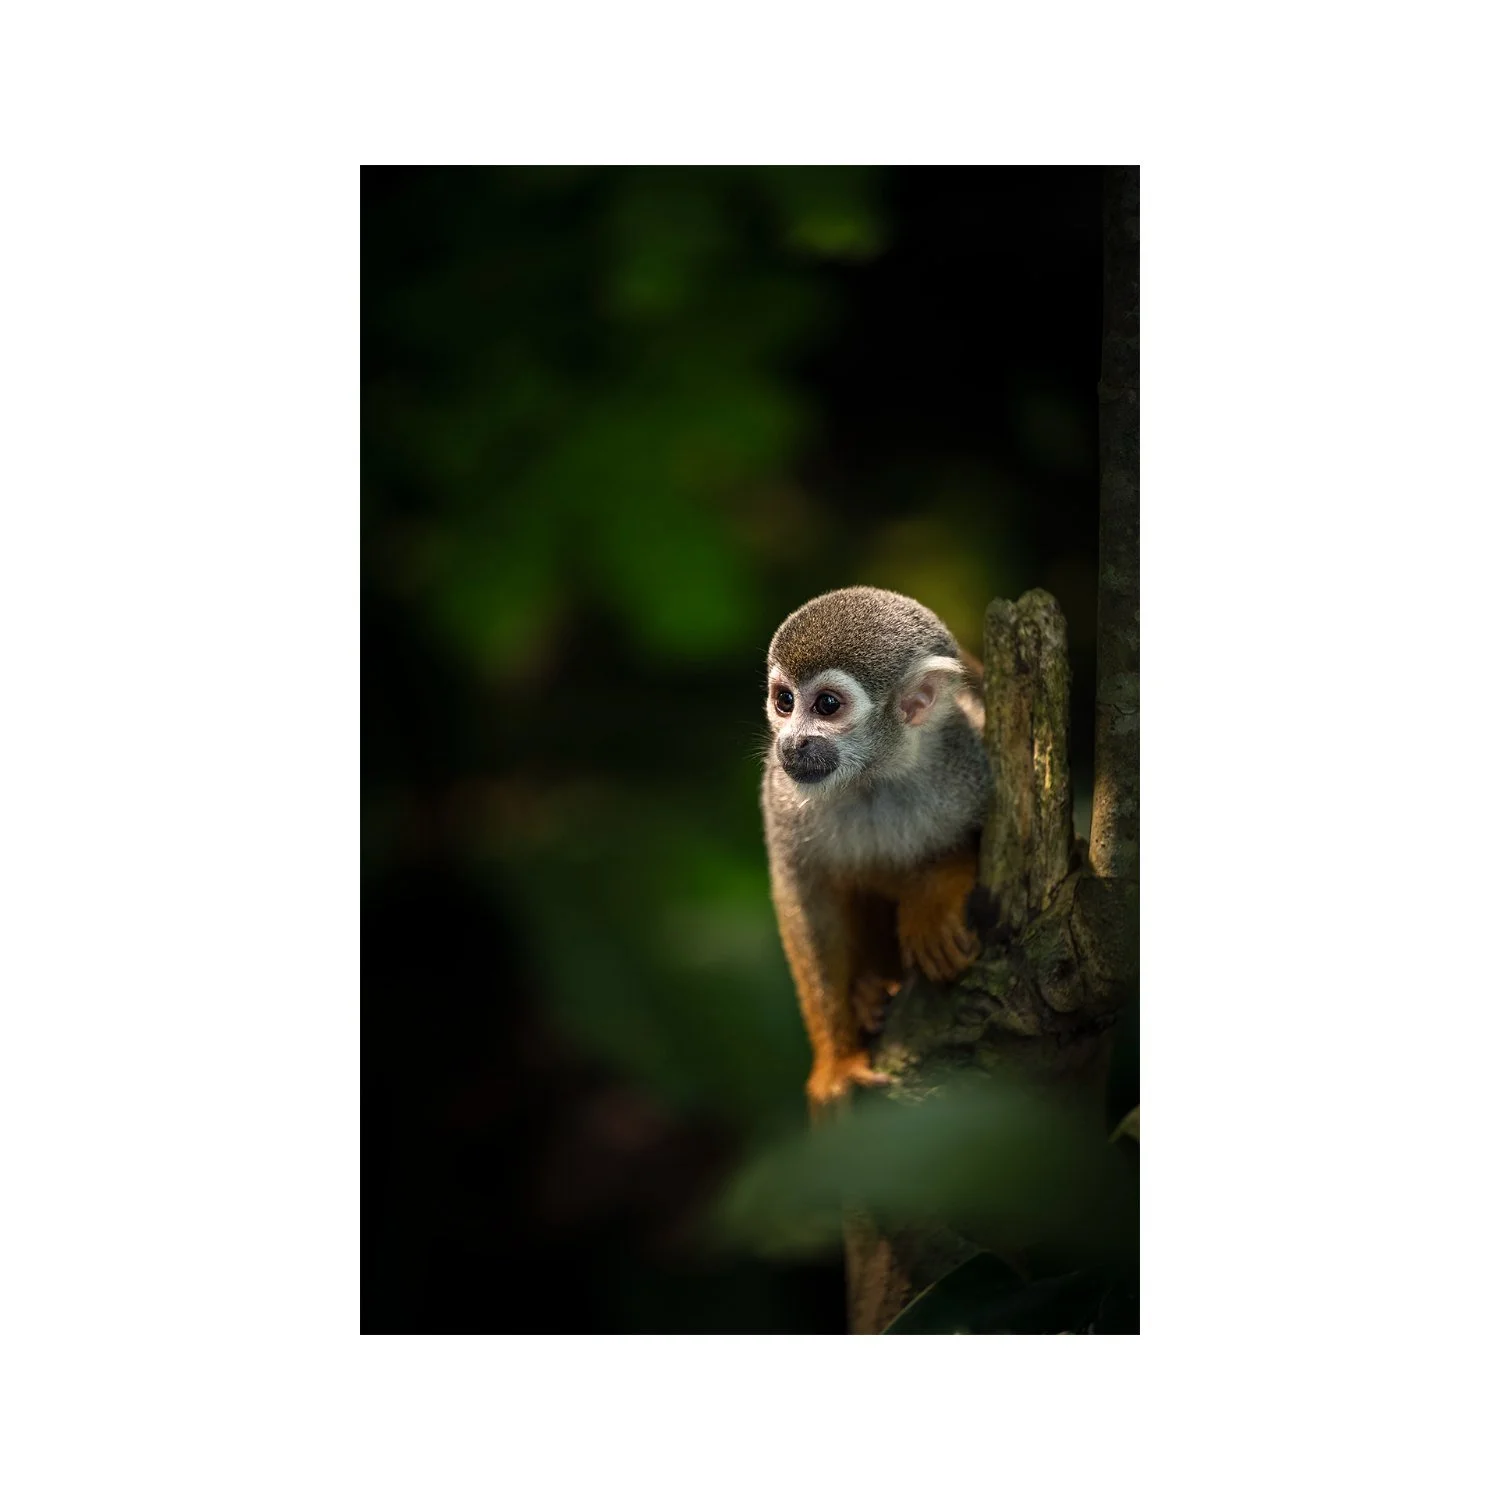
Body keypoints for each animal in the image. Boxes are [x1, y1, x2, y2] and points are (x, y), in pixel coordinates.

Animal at [759, 586, 991, 1115]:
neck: (874, 777)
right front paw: (836, 1062)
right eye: (784, 701)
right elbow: (808, 901)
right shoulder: (781, 794)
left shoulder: (974, 754)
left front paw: (933, 902)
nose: (791, 743)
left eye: (827, 705)